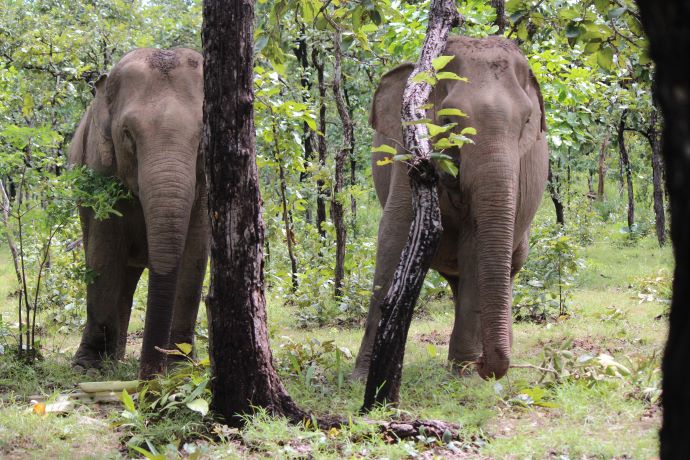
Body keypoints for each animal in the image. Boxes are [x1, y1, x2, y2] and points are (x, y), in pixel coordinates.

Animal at [69, 48, 210, 380]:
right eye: (128, 134)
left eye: (203, 137)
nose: (150, 376)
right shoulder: (99, 166)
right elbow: (103, 254)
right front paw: (88, 368)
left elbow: (195, 256)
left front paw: (181, 367)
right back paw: (112, 360)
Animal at [352, 36, 544, 380]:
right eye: (449, 121)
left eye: (526, 122)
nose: (485, 368)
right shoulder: (407, 152)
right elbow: (394, 235)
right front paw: (364, 377)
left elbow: (475, 244)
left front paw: (464, 372)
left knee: (508, 266)